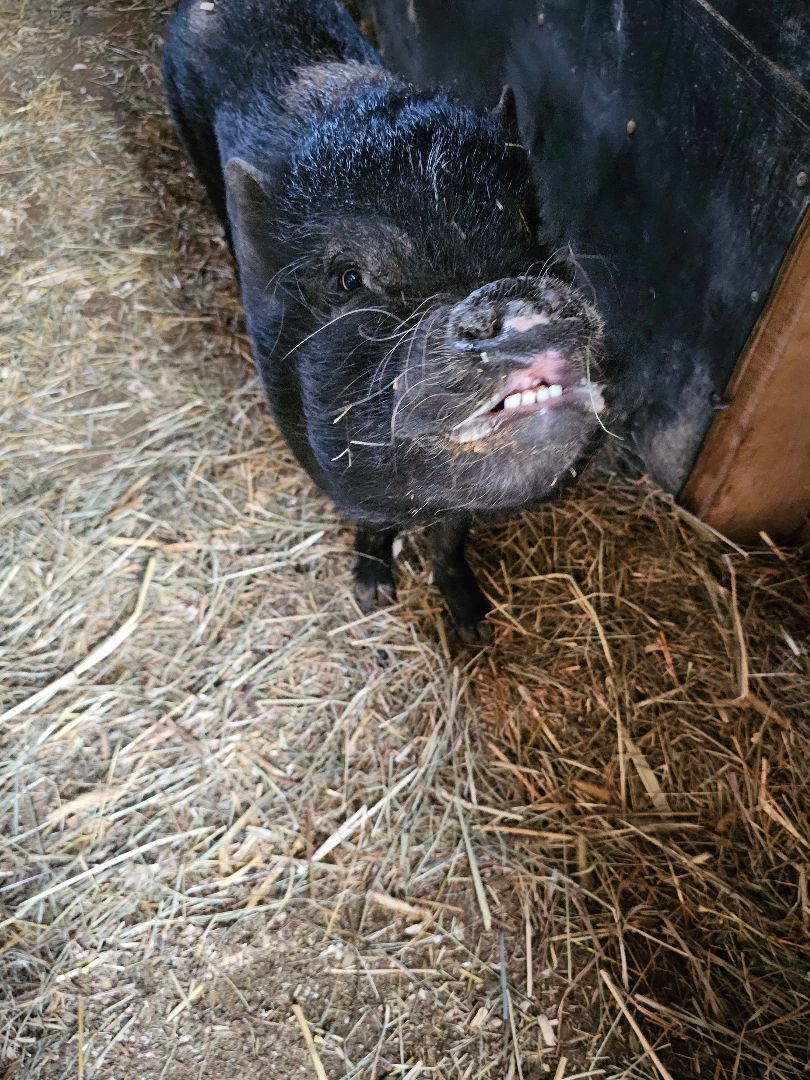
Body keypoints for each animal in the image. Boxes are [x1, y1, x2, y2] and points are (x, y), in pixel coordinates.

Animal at [163, 0, 608, 643]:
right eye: (349, 279)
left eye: (531, 227)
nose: (512, 296)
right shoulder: (330, 469)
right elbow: (372, 525)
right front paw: (371, 597)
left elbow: (450, 541)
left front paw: (477, 628)